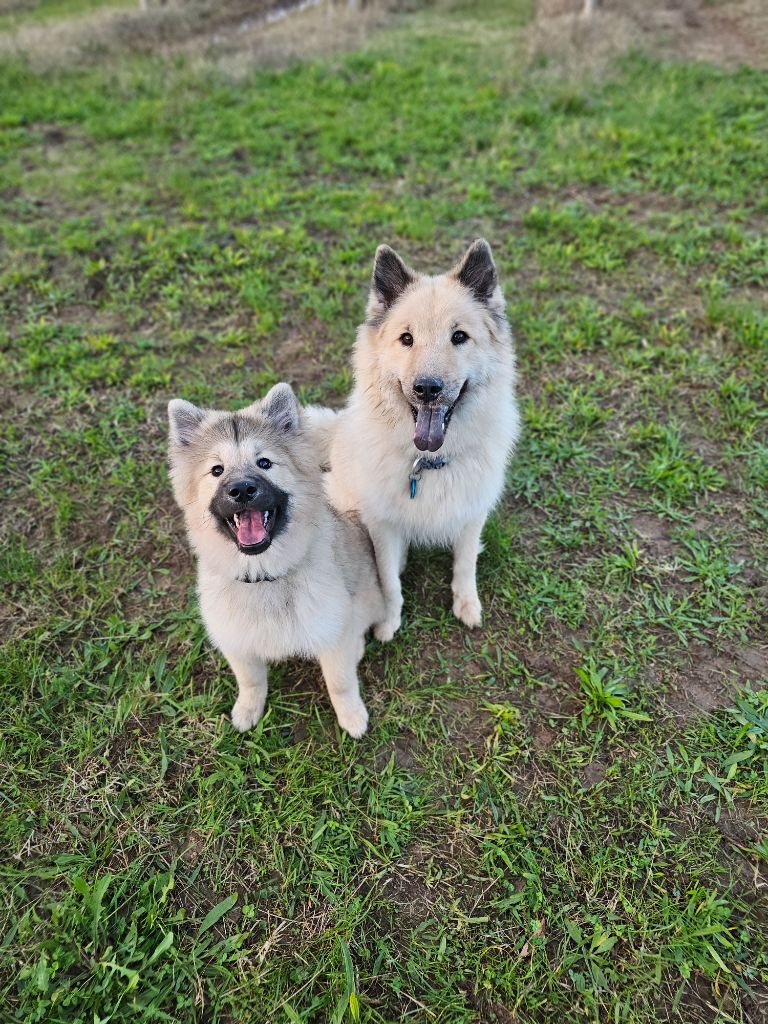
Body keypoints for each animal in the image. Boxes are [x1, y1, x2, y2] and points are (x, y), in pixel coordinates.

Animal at [167, 385, 385, 737]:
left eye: (265, 462)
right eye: (217, 470)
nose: (242, 489)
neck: (263, 575)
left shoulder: (332, 634)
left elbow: (340, 682)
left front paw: (351, 716)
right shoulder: (237, 643)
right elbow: (251, 680)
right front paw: (248, 709)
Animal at [319, 240, 524, 638]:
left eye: (459, 337)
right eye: (407, 339)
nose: (427, 389)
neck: (428, 462)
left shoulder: (471, 513)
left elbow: (464, 564)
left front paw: (467, 605)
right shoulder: (383, 526)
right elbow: (389, 581)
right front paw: (388, 622)